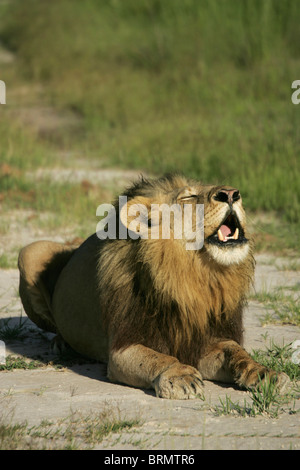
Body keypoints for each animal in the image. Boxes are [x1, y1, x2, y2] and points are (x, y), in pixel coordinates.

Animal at [18, 174, 288, 398]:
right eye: (188, 197)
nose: (232, 193)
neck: (194, 277)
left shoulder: (207, 340)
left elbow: (236, 352)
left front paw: (264, 373)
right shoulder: (122, 348)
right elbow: (157, 358)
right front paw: (181, 376)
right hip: (30, 251)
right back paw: (61, 343)